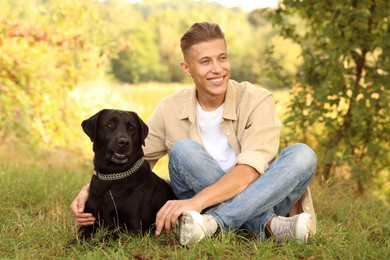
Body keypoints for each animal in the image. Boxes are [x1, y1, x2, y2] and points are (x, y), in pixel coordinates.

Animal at [76, 108, 177, 241]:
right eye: (109, 125)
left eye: (131, 127)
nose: (124, 142)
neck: (113, 177)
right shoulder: (90, 221)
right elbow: (81, 235)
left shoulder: (133, 228)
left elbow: (108, 236)